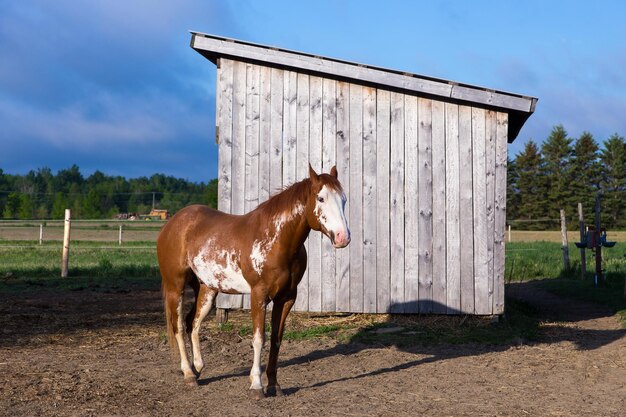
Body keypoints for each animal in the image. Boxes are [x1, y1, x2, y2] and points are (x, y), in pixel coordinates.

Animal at [156, 164, 348, 398]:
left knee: (193, 323)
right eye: (321, 198)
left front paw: (274, 385)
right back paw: (188, 373)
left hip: (207, 289)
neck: (276, 239)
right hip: (176, 287)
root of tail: (173, 223)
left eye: (343, 199)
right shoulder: (259, 295)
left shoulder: (286, 298)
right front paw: (257, 385)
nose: (343, 237)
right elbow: (258, 339)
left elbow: (276, 339)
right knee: (178, 326)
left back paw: (198, 367)